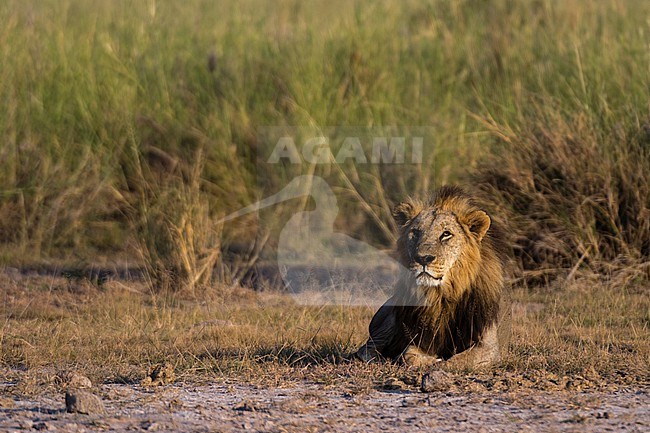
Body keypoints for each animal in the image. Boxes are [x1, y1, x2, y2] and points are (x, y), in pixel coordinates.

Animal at [356, 186, 508, 368]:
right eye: (415, 232)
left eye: (446, 234)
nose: (422, 258)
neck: (442, 296)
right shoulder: (419, 337)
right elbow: (408, 355)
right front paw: (426, 359)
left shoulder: (489, 346)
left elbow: (457, 360)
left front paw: (438, 362)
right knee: (365, 349)